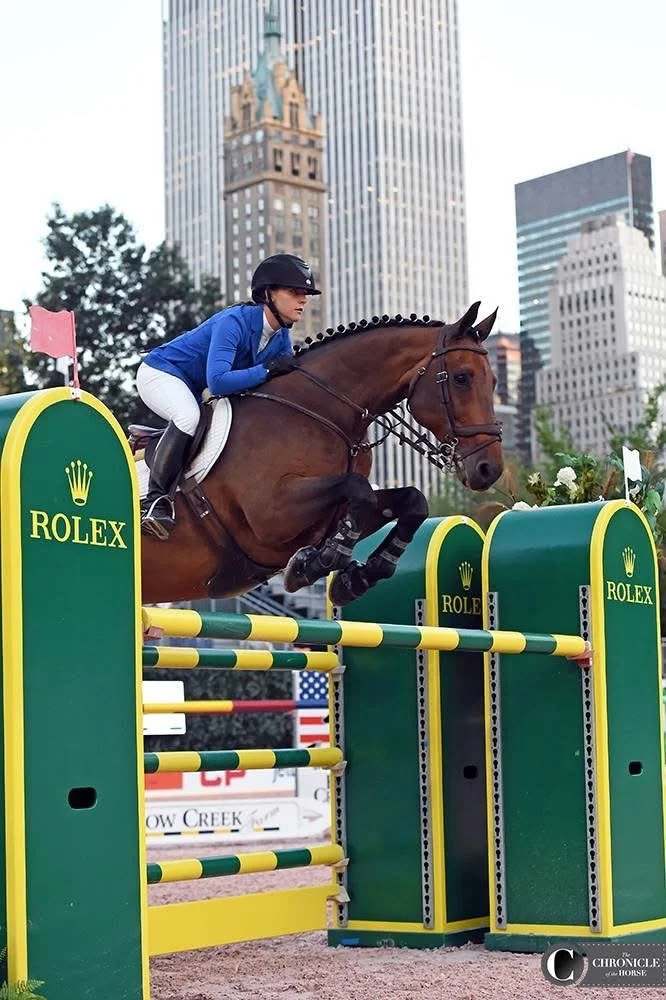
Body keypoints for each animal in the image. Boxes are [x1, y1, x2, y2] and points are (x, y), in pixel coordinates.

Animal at [139, 301, 503, 607]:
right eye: (461, 378)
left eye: (495, 382)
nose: (490, 469)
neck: (321, 412)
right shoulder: (270, 516)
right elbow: (358, 489)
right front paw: (318, 563)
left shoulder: (327, 513)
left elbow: (411, 501)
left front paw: (352, 577)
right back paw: (158, 511)